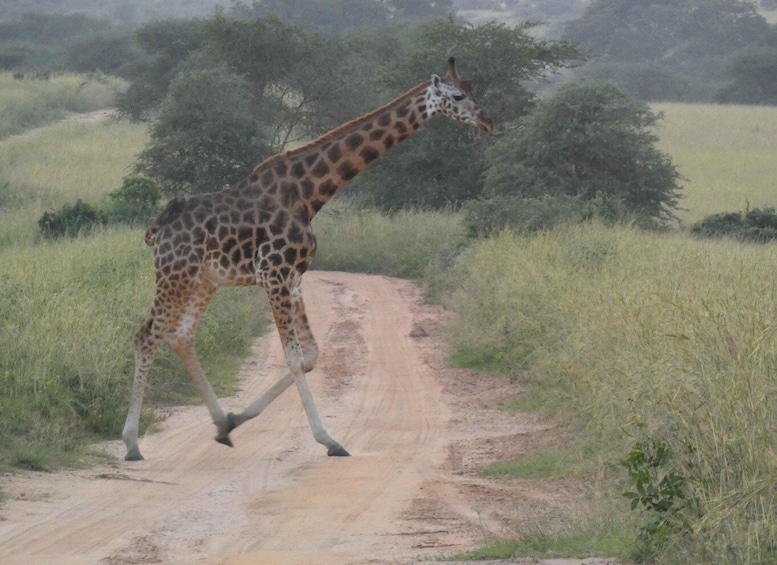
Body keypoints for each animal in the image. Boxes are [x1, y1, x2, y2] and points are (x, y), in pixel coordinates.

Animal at [122, 57, 493, 461]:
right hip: (175, 274)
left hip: (204, 280)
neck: (308, 194)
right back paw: (132, 444)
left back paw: (221, 424)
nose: (487, 121)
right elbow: (295, 357)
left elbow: (313, 354)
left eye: (473, 90)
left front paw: (238, 418)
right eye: (458, 96)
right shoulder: (275, 274)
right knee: (146, 337)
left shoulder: (294, 279)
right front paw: (330, 440)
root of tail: (157, 227)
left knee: (181, 336)